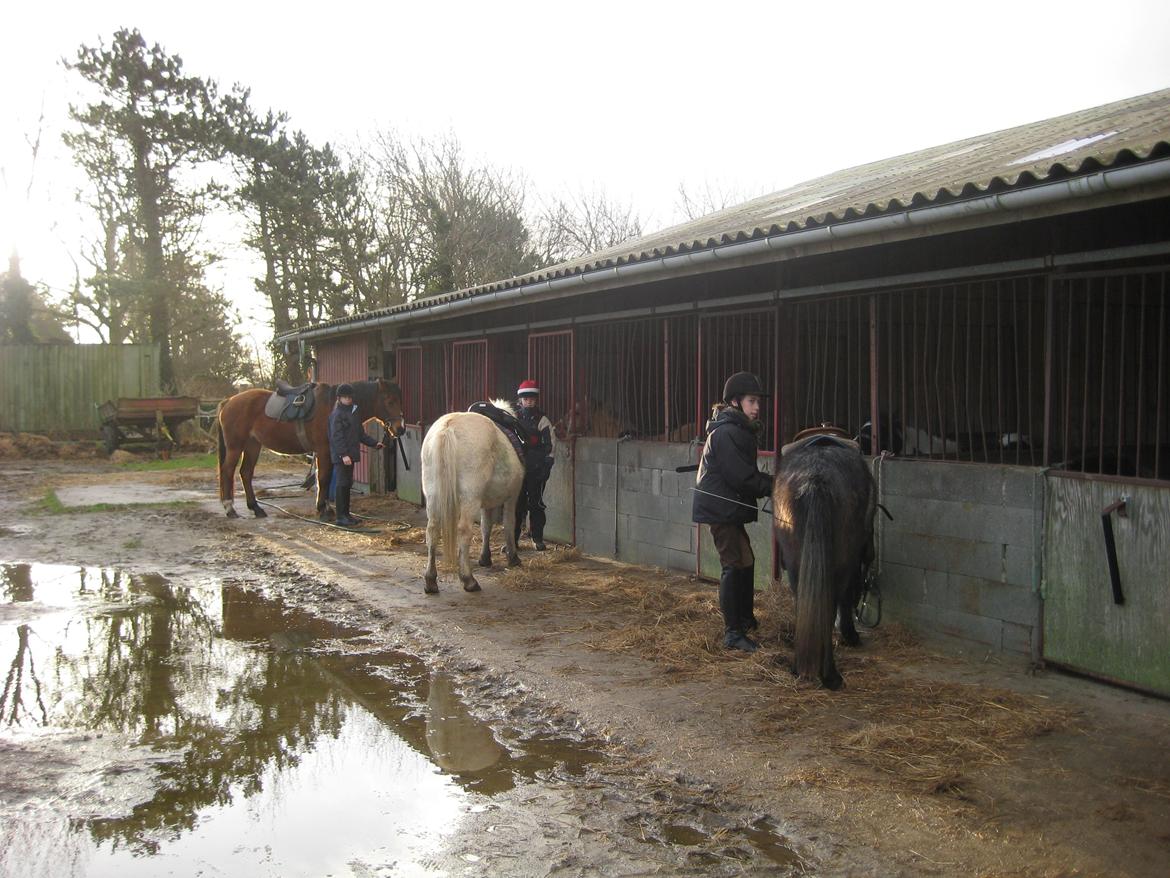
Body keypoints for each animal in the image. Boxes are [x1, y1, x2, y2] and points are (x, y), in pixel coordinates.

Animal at [216, 379, 407, 519]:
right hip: (235, 446)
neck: (332, 406)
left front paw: (326, 507)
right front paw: (323, 509)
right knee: (227, 471)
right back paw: (230, 508)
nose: (400, 429)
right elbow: (323, 478)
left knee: (245, 473)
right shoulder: (323, 451)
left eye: (400, 400)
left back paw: (256, 508)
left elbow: (326, 479)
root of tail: (229, 401)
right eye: (389, 401)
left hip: (253, 445)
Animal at [423, 400, 524, 594]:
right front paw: (513, 557)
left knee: (432, 529)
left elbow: (486, 526)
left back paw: (430, 580)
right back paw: (469, 580)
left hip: (433, 495)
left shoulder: (487, 503)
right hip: (470, 498)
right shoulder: (512, 496)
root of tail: (448, 428)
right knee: (464, 530)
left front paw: (485, 558)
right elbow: (509, 524)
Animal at [772, 430, 875, 693]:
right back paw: (830, 675)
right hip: (840, 564)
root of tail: (815, 477)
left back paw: (799, 666)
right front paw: (849, 634)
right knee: (830, 604)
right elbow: (844, 600)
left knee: (802, 600)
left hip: (796, 563)